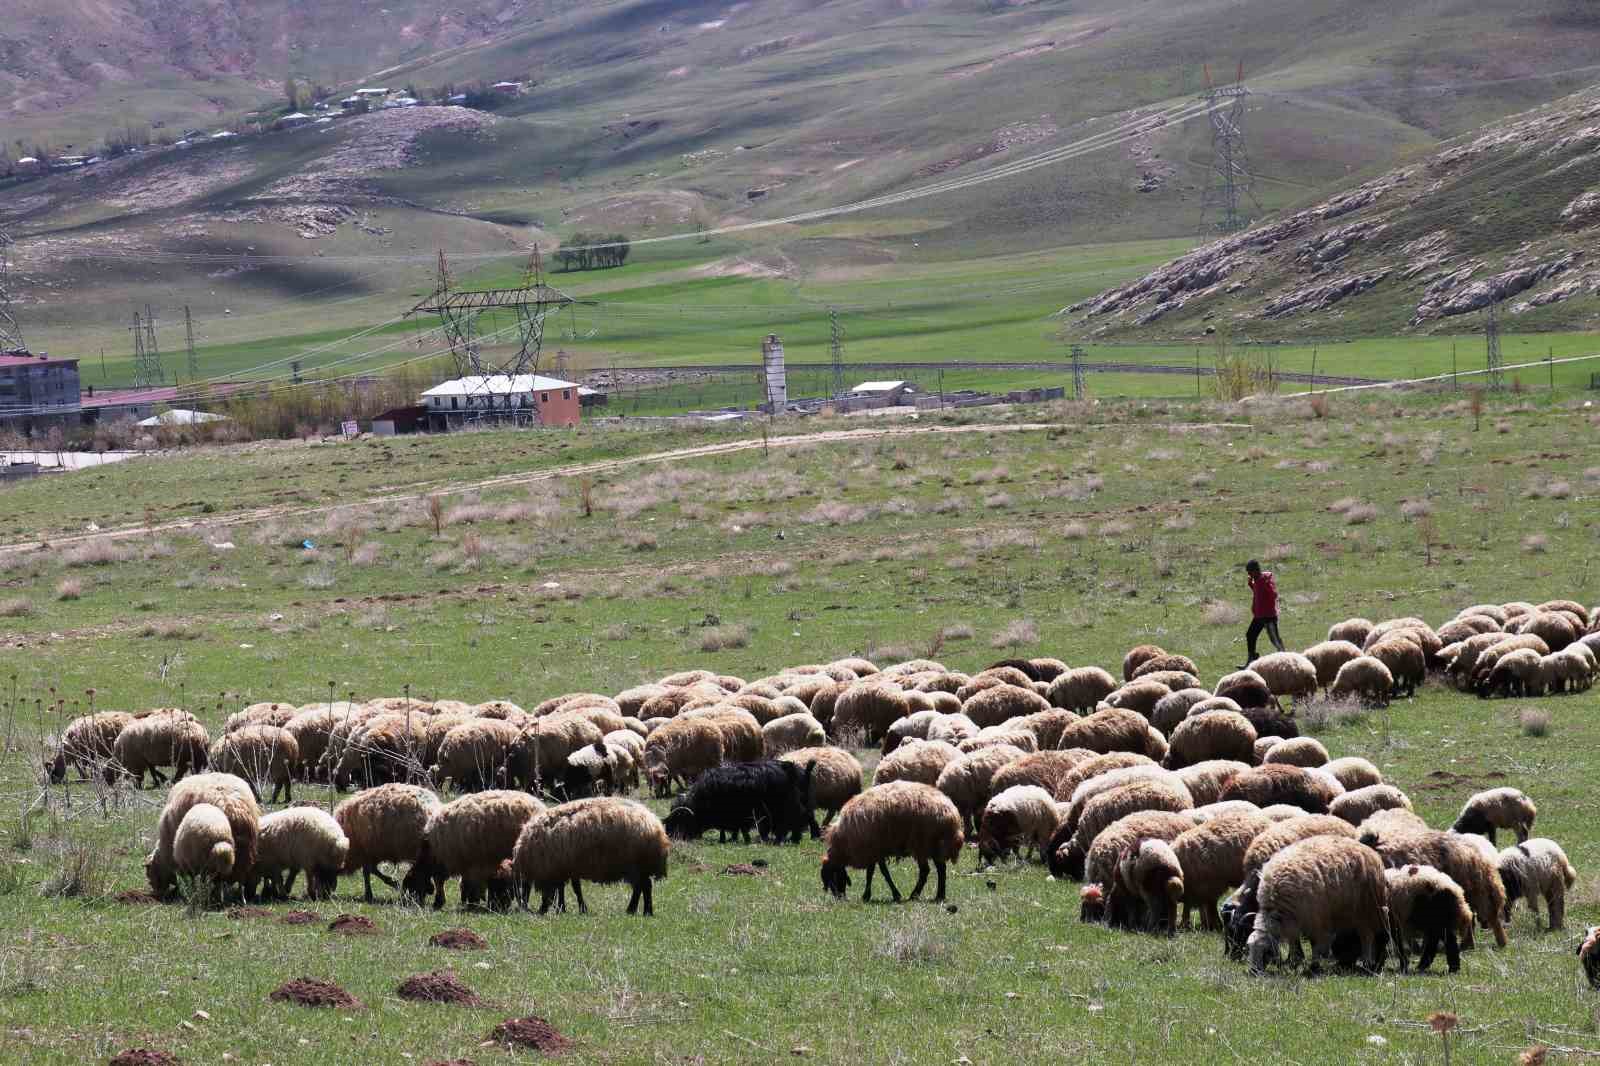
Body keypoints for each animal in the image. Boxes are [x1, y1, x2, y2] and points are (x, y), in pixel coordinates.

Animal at [403, 787, 547, 902]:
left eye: (410, 887)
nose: (406, 904)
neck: (431, 851)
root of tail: (539, 806)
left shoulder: (462, 861)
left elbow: (443, 881)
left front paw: (441, 901)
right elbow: (465, 883)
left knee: (526, 883)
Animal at [508, 797, 665, 915]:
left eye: (515, 888)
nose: (525, 909)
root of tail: (655, 825)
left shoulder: (559, 869)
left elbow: (567, 890)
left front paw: (573, 909)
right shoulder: (567, 868)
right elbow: (569, 889)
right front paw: (564, 909)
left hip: (636, 865)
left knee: (643, 886)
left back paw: (640, 911)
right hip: (638, 867)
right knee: (642, 886)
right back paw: (639, 910)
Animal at [659, 758, 812, 845]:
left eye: (679, 821)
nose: (670, 837)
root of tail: (788, 768)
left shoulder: (733, 815)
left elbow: (730, 828)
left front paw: (728, 839)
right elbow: (735, 829)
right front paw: (734, 839)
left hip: (782, 807)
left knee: (793, 820)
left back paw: (789, 839)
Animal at [825, 777, 960, 902]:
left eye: (833, 876)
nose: (839, 898)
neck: (844, 843)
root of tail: (951, 813)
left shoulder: (874, 849)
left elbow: (879, 873)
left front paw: (875, 895)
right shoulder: (874, 850)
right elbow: (875, 872)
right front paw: (873, 895)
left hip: (922, 843)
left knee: (926, 870)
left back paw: (916, 895)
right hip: (934, 845)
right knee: (940, 869)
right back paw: (939, 896)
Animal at [1235, 832, 1388, 973]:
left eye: (1265, 951)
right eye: (1249, 948)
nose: (1254, 972)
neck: (1274, 904)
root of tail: (1368, 850)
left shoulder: (1315, 918)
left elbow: (1315, 944)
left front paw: (1314, 965)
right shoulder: (1293, 919)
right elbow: (1293, 940)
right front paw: (1295, 962)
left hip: (1366, 908)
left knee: (1367, 935)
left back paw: (1367, 962)